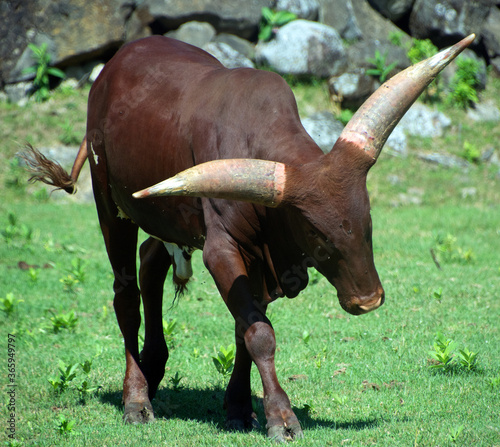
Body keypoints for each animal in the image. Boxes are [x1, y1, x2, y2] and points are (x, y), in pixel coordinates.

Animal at [23, 34, 474, 440]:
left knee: (151, 263)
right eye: (317, 235)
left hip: (166, 218)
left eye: (368, 220)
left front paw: (239, 409)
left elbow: (244, 327)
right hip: (110, 204)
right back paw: (136, 399)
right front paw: (281, 418)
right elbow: (259, 333)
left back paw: (154, 368)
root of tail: (112, 66)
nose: (369, 300)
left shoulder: (257, 260)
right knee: (125, 295)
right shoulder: (221, 248)